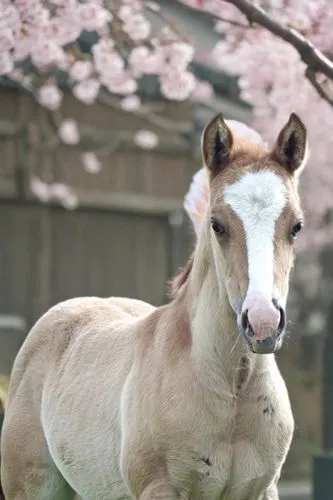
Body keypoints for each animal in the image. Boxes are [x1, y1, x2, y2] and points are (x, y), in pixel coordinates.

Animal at [0, 111, 306, 498]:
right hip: (33, 486)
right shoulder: (159, 488)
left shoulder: (262, 490)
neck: (231, 390)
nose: (263, 323)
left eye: (296, 226)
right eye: (216, 224)